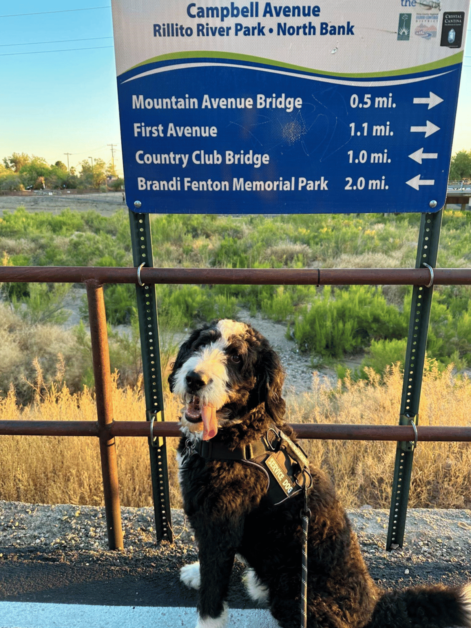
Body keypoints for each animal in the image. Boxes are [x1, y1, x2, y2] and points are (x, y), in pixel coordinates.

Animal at [171, 322, 471, 624]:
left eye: (236, 358)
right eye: (201, 343)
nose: (194, 379)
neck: (241, 436)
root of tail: (374, 605)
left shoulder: (221, 528)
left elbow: (212, 595)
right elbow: (209, 569)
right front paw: (196, 572)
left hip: (297, 596)